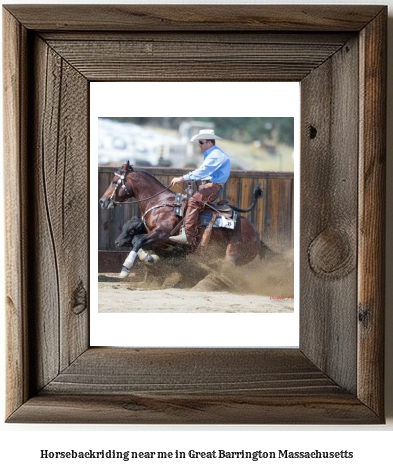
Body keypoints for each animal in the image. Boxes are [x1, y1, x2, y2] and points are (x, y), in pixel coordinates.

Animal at [99, 161, 268, 278]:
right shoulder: (161, 242)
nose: (102, 201)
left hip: (233, 255)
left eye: (114, 182)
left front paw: (125, 269)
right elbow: (139, 243)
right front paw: (149, 258)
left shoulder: (162, 234)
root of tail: (256, 235)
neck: (159, 202)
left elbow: (137, 240)